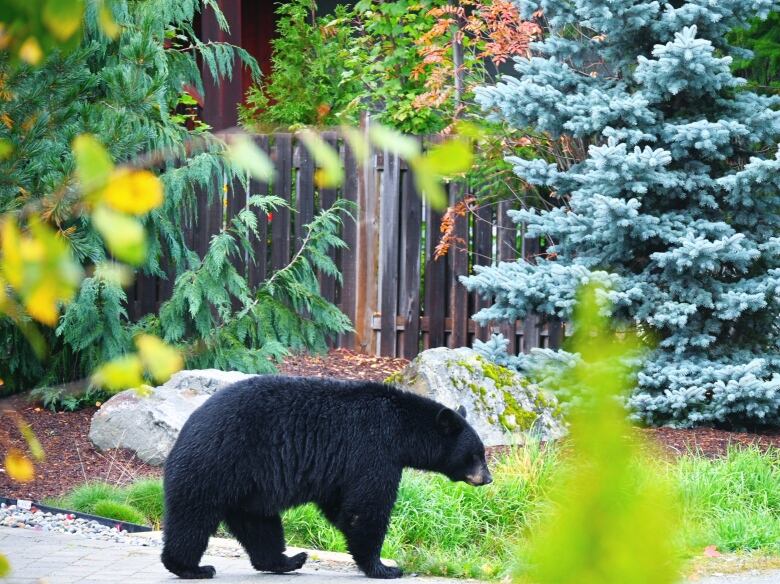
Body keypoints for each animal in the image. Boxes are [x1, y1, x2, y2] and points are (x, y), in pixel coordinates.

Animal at [163, 376, 494, 576]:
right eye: (475, 455)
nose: (488, 478)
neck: (403, 430)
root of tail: (187, 428)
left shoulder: (342, 469)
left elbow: (342, 506)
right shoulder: (373, 450)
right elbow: (367, 506)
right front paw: (384, 567)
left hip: (247, 487)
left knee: (259, 525)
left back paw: (288, 560)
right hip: (218, 464)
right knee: (193, 517)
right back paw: (190, 567)